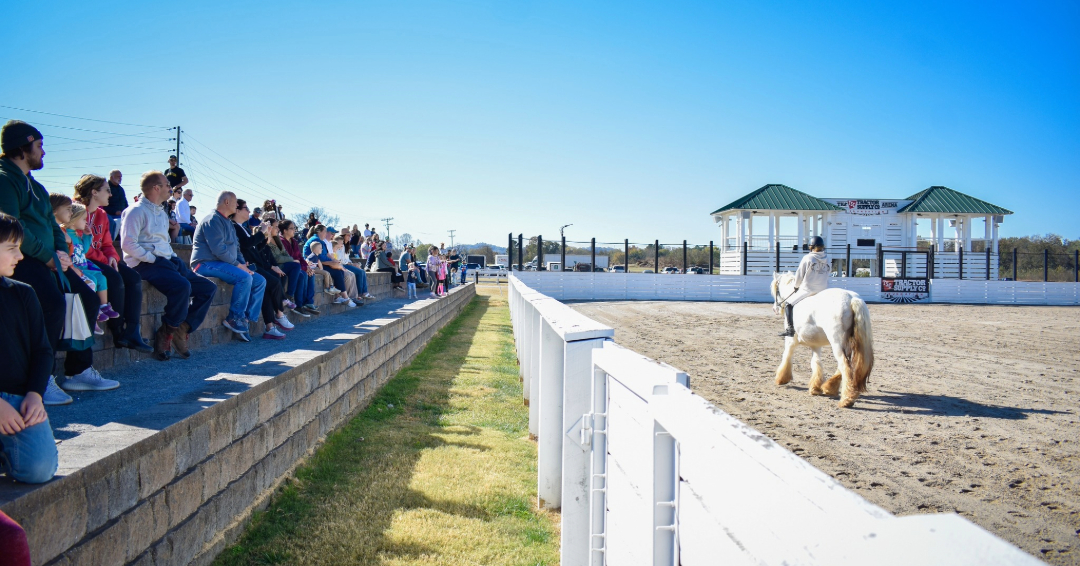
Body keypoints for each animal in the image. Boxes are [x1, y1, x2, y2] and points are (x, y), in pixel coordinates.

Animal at [773, 273, 872, 406]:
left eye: (776, 290)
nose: (775, 308)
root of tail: (852, 298)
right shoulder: (816, 345)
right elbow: (816, 362)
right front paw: (815, 388)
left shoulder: (790, 341)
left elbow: (787, 356)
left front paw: (781, 379)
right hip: (846, 344)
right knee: (844, 365)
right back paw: (830, 387)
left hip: (836, 343)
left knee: (844, 365)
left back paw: (846, 400)